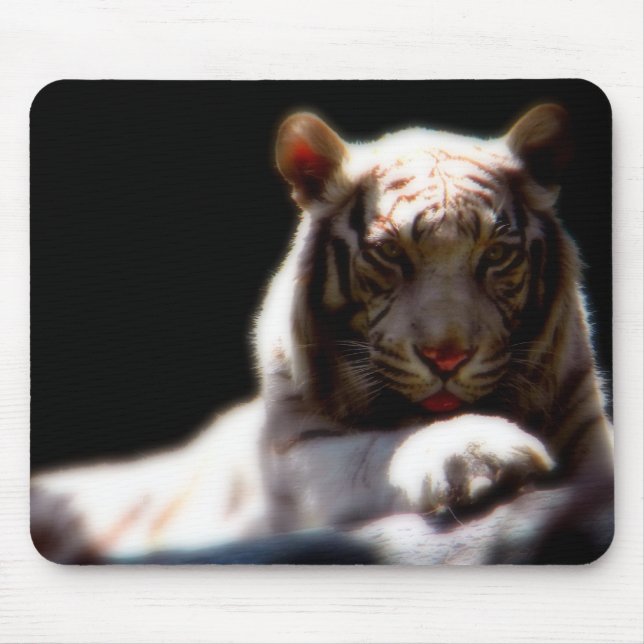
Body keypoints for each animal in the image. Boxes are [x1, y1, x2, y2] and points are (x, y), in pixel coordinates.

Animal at [31, 104, 613, 564]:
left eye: (495, 255)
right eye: (389, 253)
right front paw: (476, 452)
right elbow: (369, 453)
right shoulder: (294, 460)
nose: (445, 358)